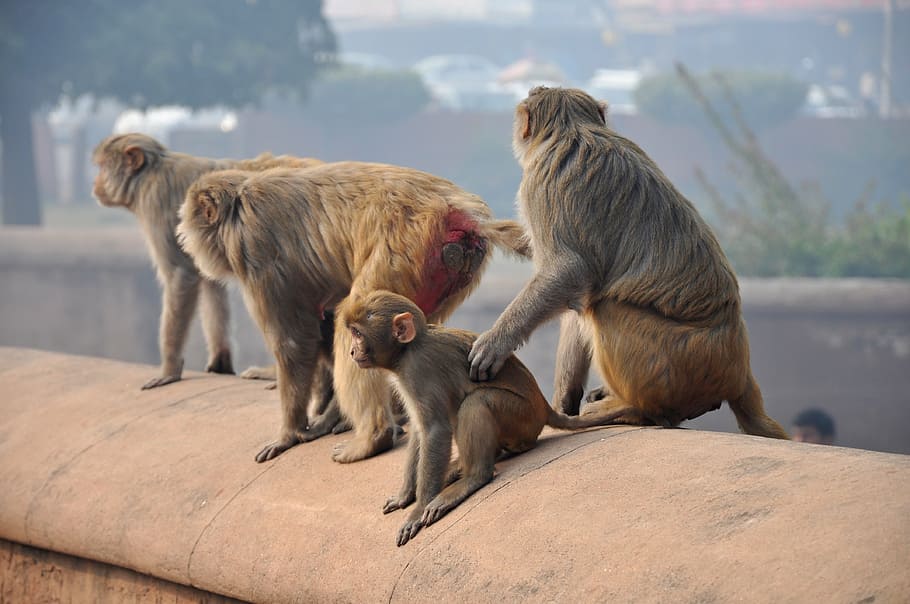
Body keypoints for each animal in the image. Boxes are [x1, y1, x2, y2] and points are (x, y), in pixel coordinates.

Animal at [91, 132, 323, 390]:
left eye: (103, 166)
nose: (95, 184)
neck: (149, 174)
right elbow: (210, 282)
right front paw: (220, 361)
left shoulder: (156, 203)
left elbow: (181, 275)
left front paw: (169, 369)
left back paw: (275, 372)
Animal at [177, 163, 530, 463]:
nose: (182, 236)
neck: (239, 202)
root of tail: (460, 212)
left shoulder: (254, 249)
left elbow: (294, 342)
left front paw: (288, 433)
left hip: (403, 249)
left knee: (355, 316)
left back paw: (373, 437)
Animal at [343, 290, 628, 546]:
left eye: (357, 333)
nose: (351, 352)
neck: (407, 350)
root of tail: (543, 406)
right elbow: (419, 430)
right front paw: (405, 495)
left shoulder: (418, 369)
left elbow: (434, 430)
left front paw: (417, 509)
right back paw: (465, 466)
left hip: (521, 417)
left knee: (476, 401)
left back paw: (473, 478)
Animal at [468, 86, 789, 440]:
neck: (572, 127)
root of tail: (738, 372)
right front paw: (479, 224)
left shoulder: (540, 182)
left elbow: (568, 271)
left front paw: (495, 343)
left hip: (676, 365)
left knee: (604, 307)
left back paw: (637, 411)